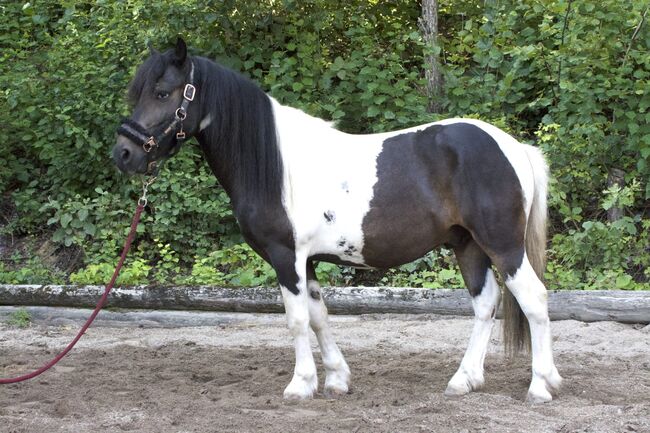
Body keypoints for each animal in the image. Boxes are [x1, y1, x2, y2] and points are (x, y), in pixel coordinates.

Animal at [114, 39, 560, 402]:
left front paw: (299, 385)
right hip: (467, 245)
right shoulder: (307, 261)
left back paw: (541, 385)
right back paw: (464, 380)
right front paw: (335, 379)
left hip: (502, 245)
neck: (277, 166)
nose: (123, 154)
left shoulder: (286, 257)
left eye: (162, 92)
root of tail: (514, 147)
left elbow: (296, 320)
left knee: (534, 299)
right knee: (486, 304)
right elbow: (318, 316)